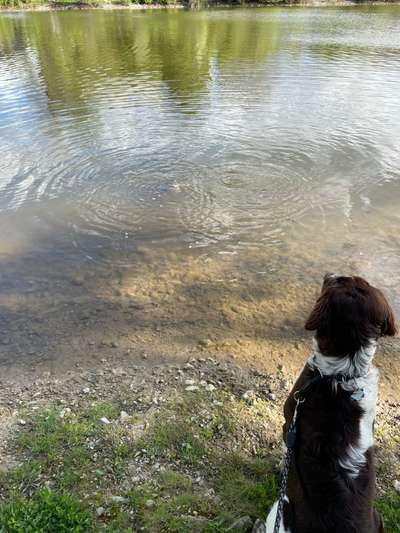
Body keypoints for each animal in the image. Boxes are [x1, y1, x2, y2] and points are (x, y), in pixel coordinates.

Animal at [266, 274, 396, 532]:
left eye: (341, 280)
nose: (329, 274)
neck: (341, 374)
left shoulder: (289, 421)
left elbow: (286, 449)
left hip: (279, 509)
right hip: (378, 516)